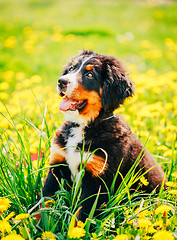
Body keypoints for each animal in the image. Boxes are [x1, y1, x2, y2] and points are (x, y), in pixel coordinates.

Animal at [42, 49, 166, 222]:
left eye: (90, 75)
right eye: (71, 69)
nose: (61, 82)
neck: (84, 126)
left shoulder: (97, 179)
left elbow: (81, 216)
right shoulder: (58, 165)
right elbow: (42, 205)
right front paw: (35, 224)